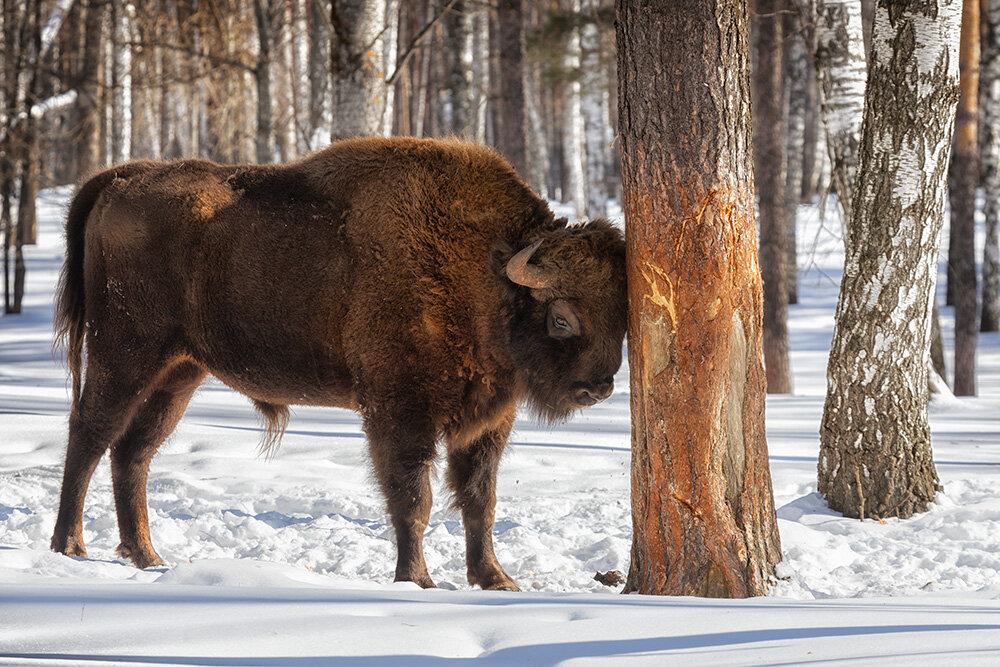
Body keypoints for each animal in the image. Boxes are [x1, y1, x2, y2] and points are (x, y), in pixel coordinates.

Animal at [50, 136, 624, 588]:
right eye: (562, 318)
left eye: (622, 317)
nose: (599, 387)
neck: (485, 269)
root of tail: (122, 178)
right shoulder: (399, 411)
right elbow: (414, 499)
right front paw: (418, 579)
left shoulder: (486, 423)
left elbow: (480, 501)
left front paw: (497, 580)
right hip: (124, 355)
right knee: (89, 434)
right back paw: (70, 547)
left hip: (180, 372)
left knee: (133, 451)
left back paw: (146, 556)